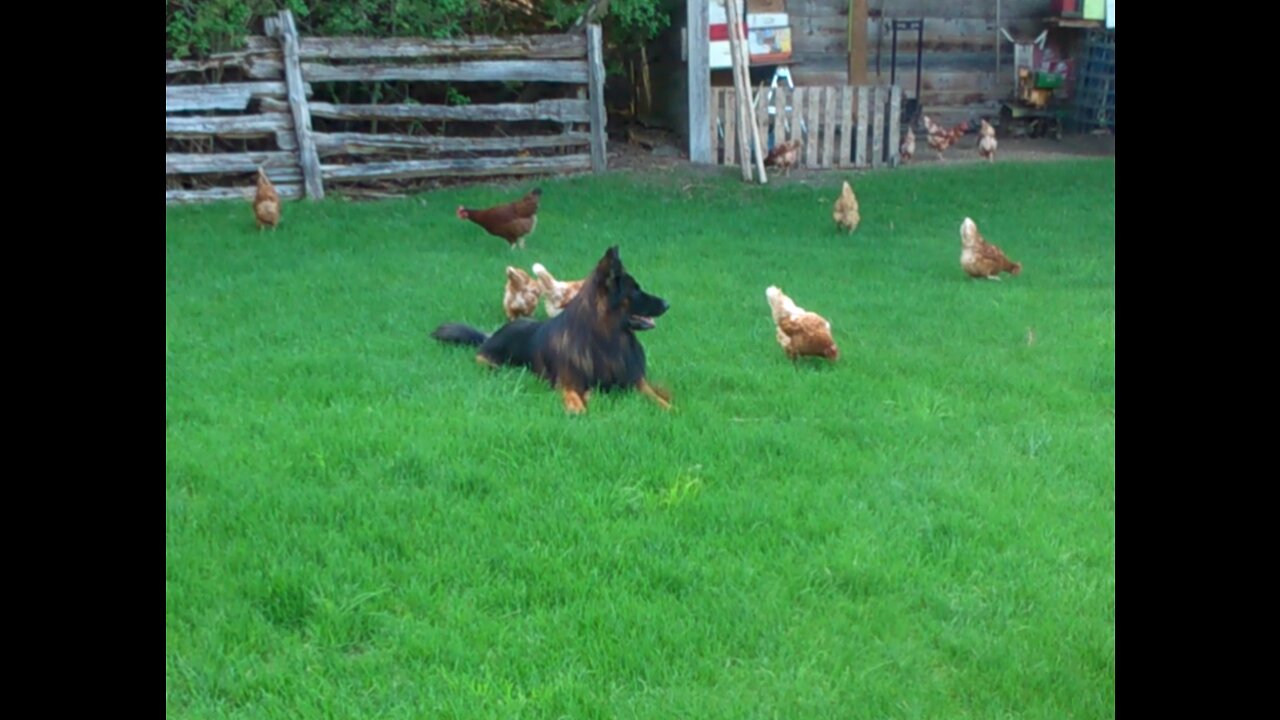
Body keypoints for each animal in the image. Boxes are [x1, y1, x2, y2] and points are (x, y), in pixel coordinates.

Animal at [430, 245, 670, 412]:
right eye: (636, 290)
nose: (668, 304)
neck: (605, 340)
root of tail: (492, 334)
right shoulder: (567, 384)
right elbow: (574, 400)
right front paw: (579, 407)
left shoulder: (635, 381)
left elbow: (656, 396)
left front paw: (669, 407)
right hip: (492, 362)